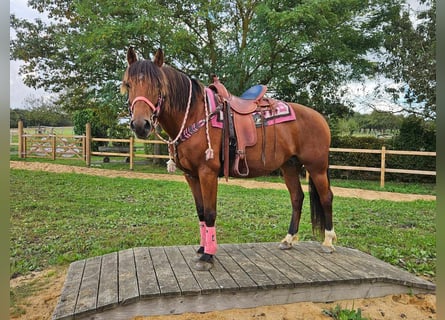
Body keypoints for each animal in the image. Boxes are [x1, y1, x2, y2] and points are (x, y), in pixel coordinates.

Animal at [119, 47, 334, 272]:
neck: (195, 114)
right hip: (289, 166)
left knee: (326, 197)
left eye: (158, 86)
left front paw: (208, 256)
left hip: (317, 167)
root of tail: (319, 117)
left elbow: (210, 212)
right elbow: (201, 212)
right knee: (297, 198)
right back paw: (288, 239)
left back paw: (328, 242)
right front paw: (202, 248)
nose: (140, 125)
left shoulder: (207, 173)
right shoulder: (191, 176)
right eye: (128, 85)